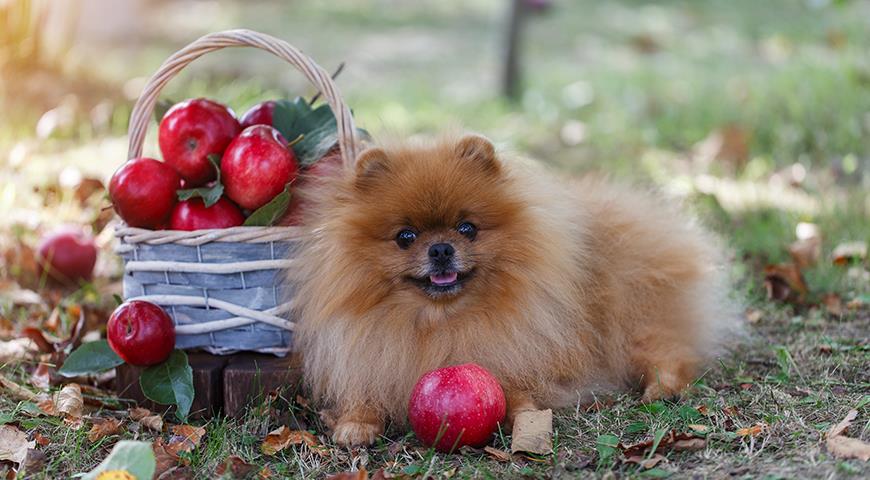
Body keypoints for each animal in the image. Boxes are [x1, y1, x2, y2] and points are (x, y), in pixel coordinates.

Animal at [290, 132, 740, 446]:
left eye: (467, 228)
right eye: (405, 237)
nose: (440, 249)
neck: (441, 323)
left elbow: (521, 390)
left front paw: (523, 417)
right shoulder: (368, 356)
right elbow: (362, 394)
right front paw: (356, 424)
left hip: (634, 320)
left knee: (670, 353)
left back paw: (661, 389)